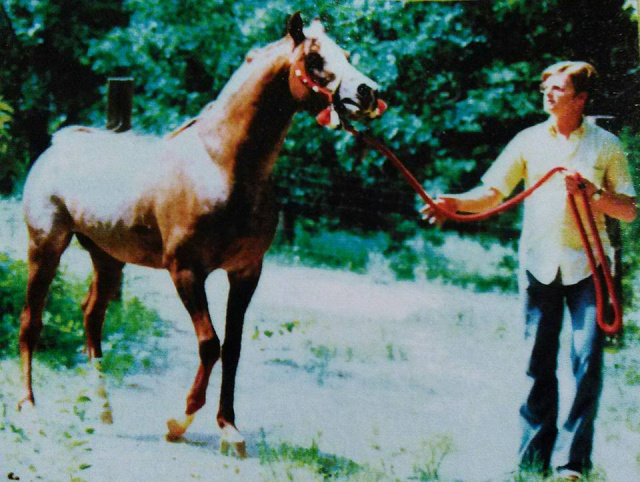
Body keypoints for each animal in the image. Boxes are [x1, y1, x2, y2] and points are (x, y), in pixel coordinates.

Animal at [17, 11, 382, 456]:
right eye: (314, 59)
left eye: (346, 53)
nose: (368, 92)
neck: (221, 164)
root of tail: (56, 145)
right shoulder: (187, 271)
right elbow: (209, 344)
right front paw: (179, 422)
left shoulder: (246, 272)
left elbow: (233, 347)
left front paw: (230, 428)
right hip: (45, 246)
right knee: (31, 322)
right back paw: (29, 409)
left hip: (107, 259)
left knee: (91, 318)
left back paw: (104, 411)